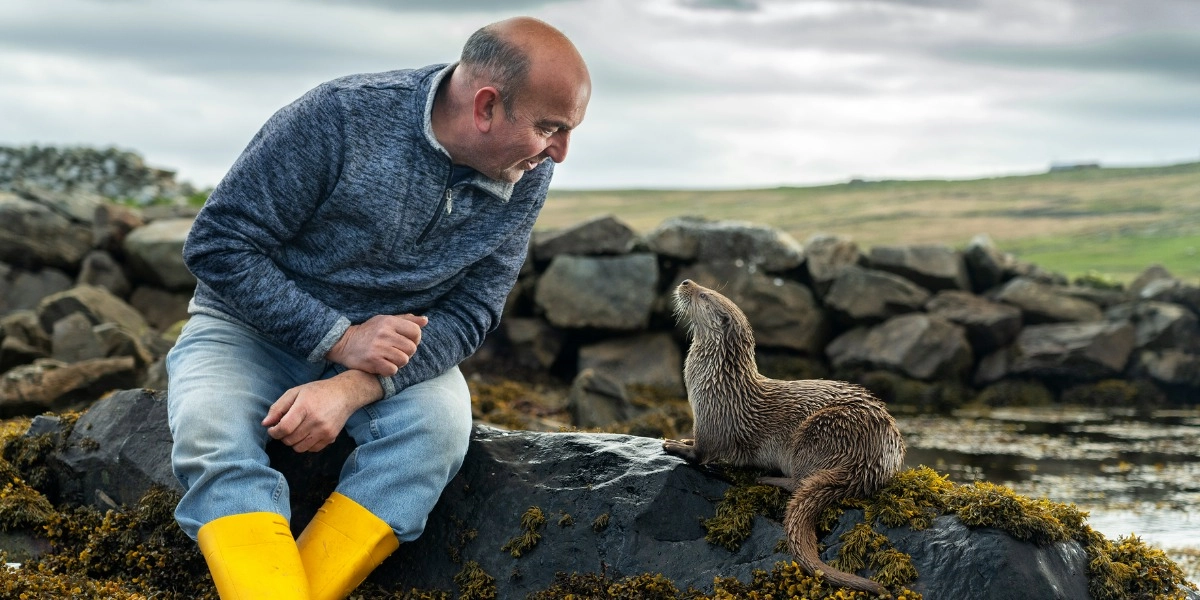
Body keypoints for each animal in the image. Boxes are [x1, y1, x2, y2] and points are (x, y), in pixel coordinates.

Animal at [662, 279, 906, 596]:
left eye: (705, 295)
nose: (686, 282)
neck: (717, 381)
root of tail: (875, 461)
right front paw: (682, 439)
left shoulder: (713, 418)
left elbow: (703, 453)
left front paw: (675, 445)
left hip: (819, 432)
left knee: (800, 481)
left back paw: (768, 478)